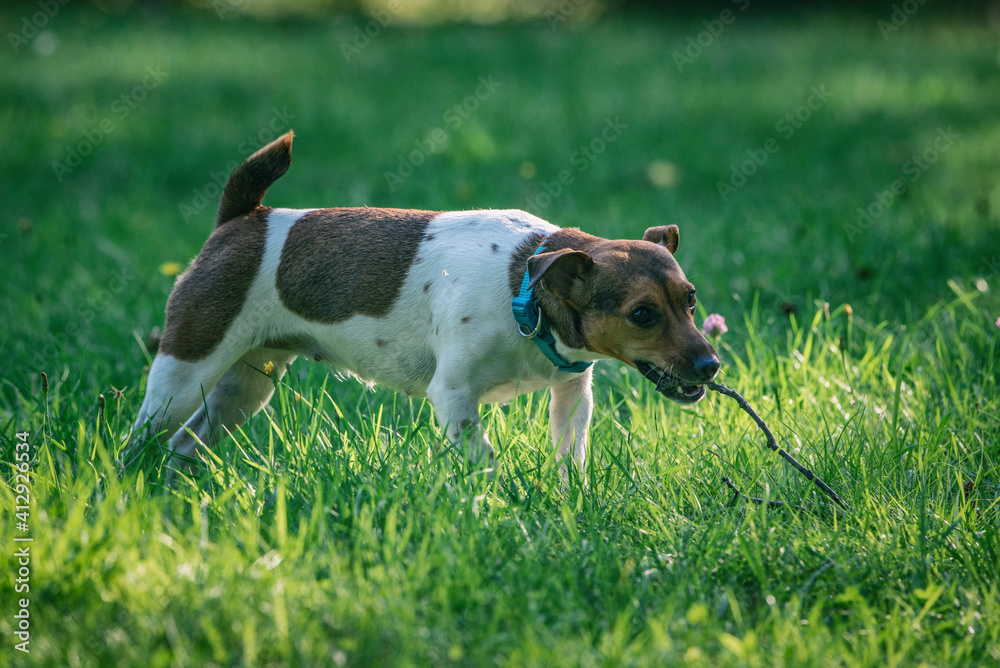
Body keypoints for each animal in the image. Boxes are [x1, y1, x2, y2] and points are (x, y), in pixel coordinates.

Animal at [131, 130, 720, 478]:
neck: (524, 290)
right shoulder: (454, 396)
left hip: (246, 387)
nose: (711, 366)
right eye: (642, 314)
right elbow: (484, 461)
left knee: (186, 443)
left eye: (690, 301)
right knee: (145, 434)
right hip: (185, 369)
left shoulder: (572, 393)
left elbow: (569, 456)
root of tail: (243, 217)